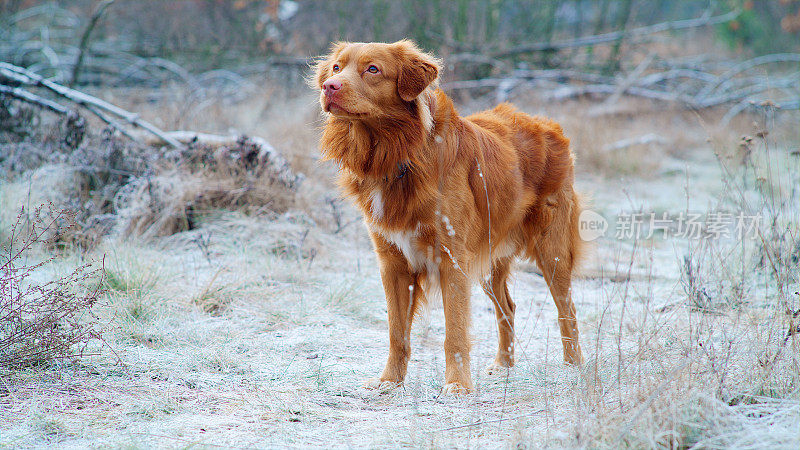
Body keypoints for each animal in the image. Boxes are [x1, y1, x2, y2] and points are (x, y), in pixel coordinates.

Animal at [316, 41, 584, 394]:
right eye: (336, 67)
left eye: (372, 69)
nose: (328, 87)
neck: (399, 153)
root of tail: (548, 124)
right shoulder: (392, 262)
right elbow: (396, 332)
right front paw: (389, 381)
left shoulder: (452, 258)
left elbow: (454, 332)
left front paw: (457, 385)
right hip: (488, 259)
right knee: (507, 307)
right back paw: (503, 365)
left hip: (551, 250)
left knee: (567, 308)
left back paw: (573, 366)